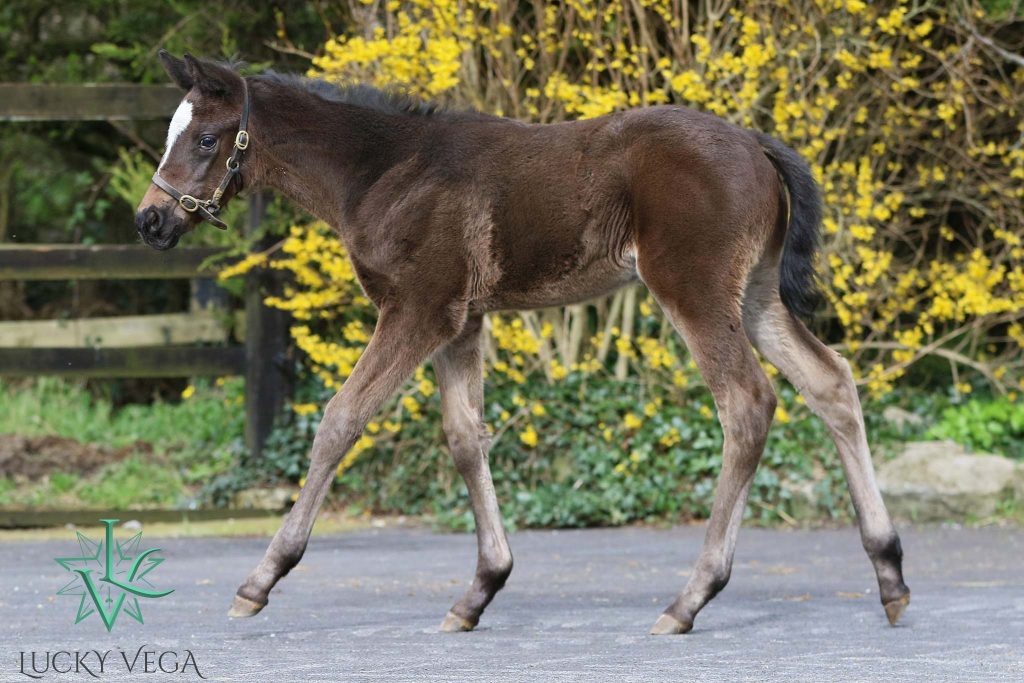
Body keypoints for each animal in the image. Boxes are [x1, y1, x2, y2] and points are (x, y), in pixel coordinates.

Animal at [138, 53, 913, 634]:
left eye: (205, 139)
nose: (149, 221)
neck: (384, 170)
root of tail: (758, 144)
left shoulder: (417, 310)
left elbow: (341, 419)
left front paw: (260, 580)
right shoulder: (461, 320)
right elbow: (464, 436)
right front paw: (480, 589)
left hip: (693, 289)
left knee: (747, 404)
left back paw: (690, 598)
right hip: (753, 295)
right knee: (831, 381)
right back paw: (890, 575)